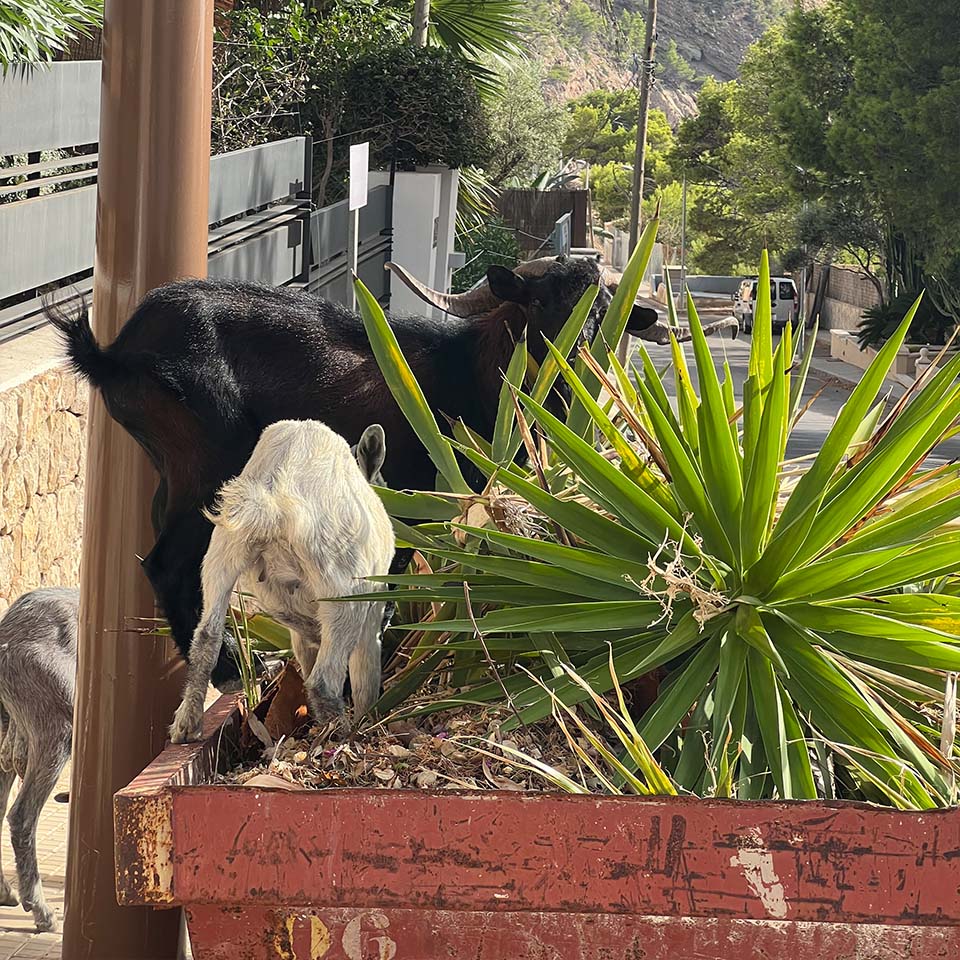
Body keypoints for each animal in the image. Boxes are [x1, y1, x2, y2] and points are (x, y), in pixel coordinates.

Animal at [169, 422, 394, 743]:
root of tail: (275, 500)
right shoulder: (371, 608)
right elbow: (365, 675)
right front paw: (369, 721)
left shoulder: (301, 633)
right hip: (342, 588)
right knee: (324, 680)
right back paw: (341, 736)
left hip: (222, 553)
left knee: (206, 637)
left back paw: (186, 725)